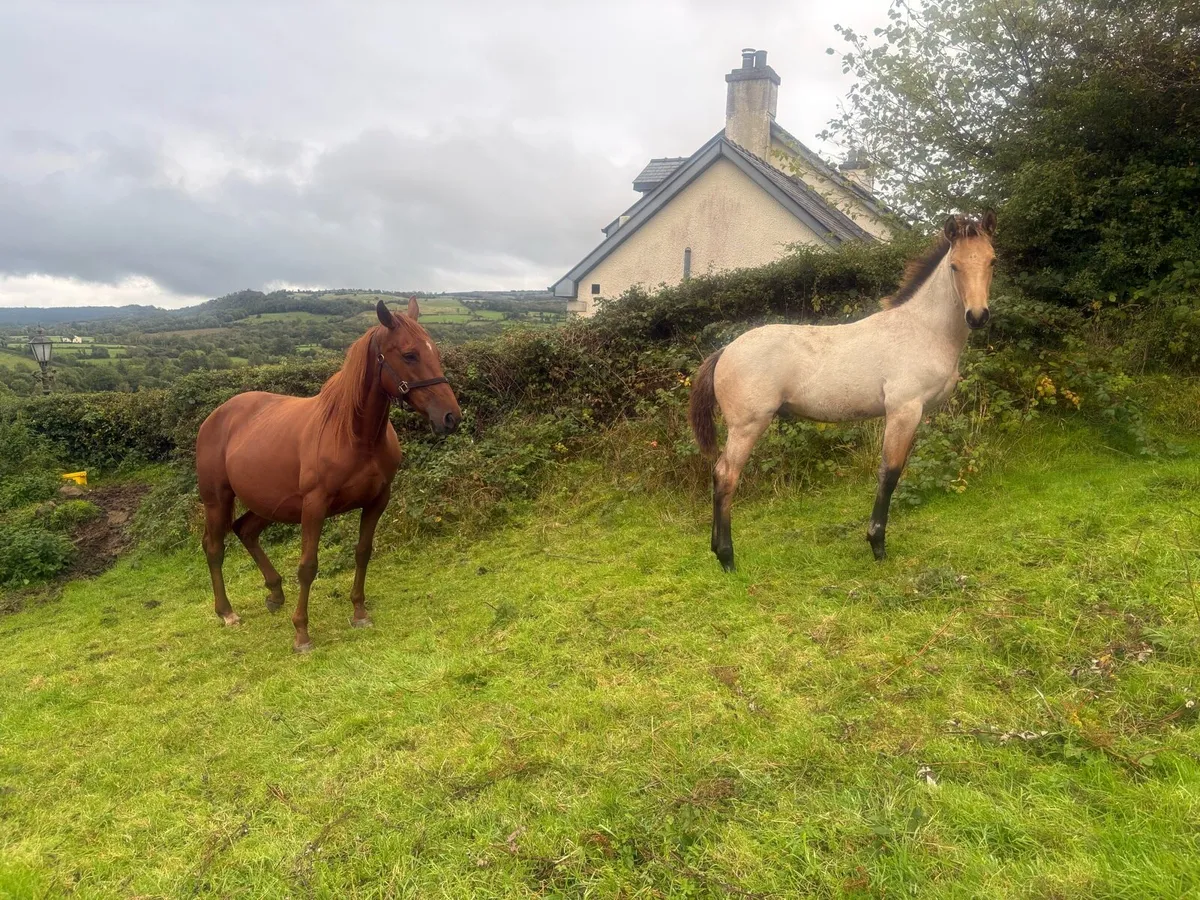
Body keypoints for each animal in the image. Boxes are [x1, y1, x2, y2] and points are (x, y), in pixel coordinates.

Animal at [195, 298, 461, 652]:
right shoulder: (315, 506)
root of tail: (215, 417)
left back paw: (275, 593)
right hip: (218, 500)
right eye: (409, 355)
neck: (354, 434)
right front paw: (301, 633)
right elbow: (308, 567)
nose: (450, 417)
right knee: (214, 548)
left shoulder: (377, 500)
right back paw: (227, 612)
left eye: (434, 352)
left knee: (245, 531)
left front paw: (359, 612)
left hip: (269, 504)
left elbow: (363, 553)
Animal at [688, 211, 997, 571]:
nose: (977, 316)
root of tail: (724, 351)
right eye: (954, 266)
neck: (922, 329)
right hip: (747, 426)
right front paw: (877, 545)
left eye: (992, 260)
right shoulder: (903, 410)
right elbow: (889, 473)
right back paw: (727, 559)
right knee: (726, 476)